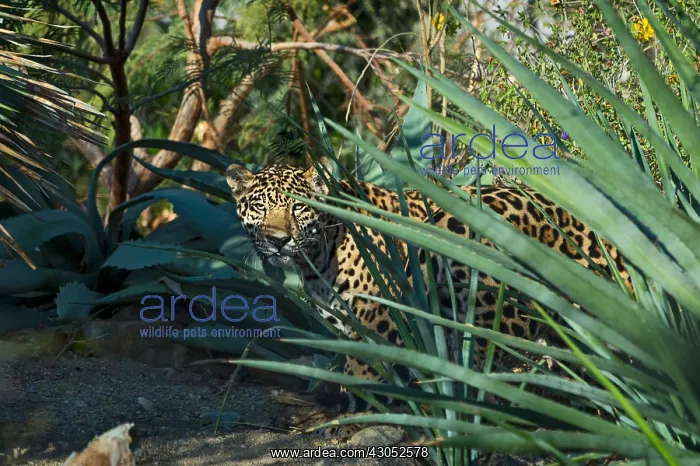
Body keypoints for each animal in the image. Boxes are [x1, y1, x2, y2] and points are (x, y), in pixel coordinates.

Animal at [225, 157, 632, 438]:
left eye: (297, 207)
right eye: (260, 207)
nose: (278, 240)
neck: (318, 254)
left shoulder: (378, 313)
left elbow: (363, 369)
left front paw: (356, 419)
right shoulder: (346, 322)